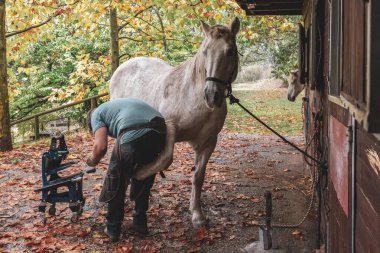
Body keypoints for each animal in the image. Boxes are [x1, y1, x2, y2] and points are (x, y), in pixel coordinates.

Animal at [109, 17, 240, 227]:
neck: (193, 98)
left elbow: (198, 176)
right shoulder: (169, 129)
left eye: (230, 51)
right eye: (205, 51)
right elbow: (166, 159)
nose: (212, 96)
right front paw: (139, 174)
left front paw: (197, 214)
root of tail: (120, 69)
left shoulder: (209, 142)